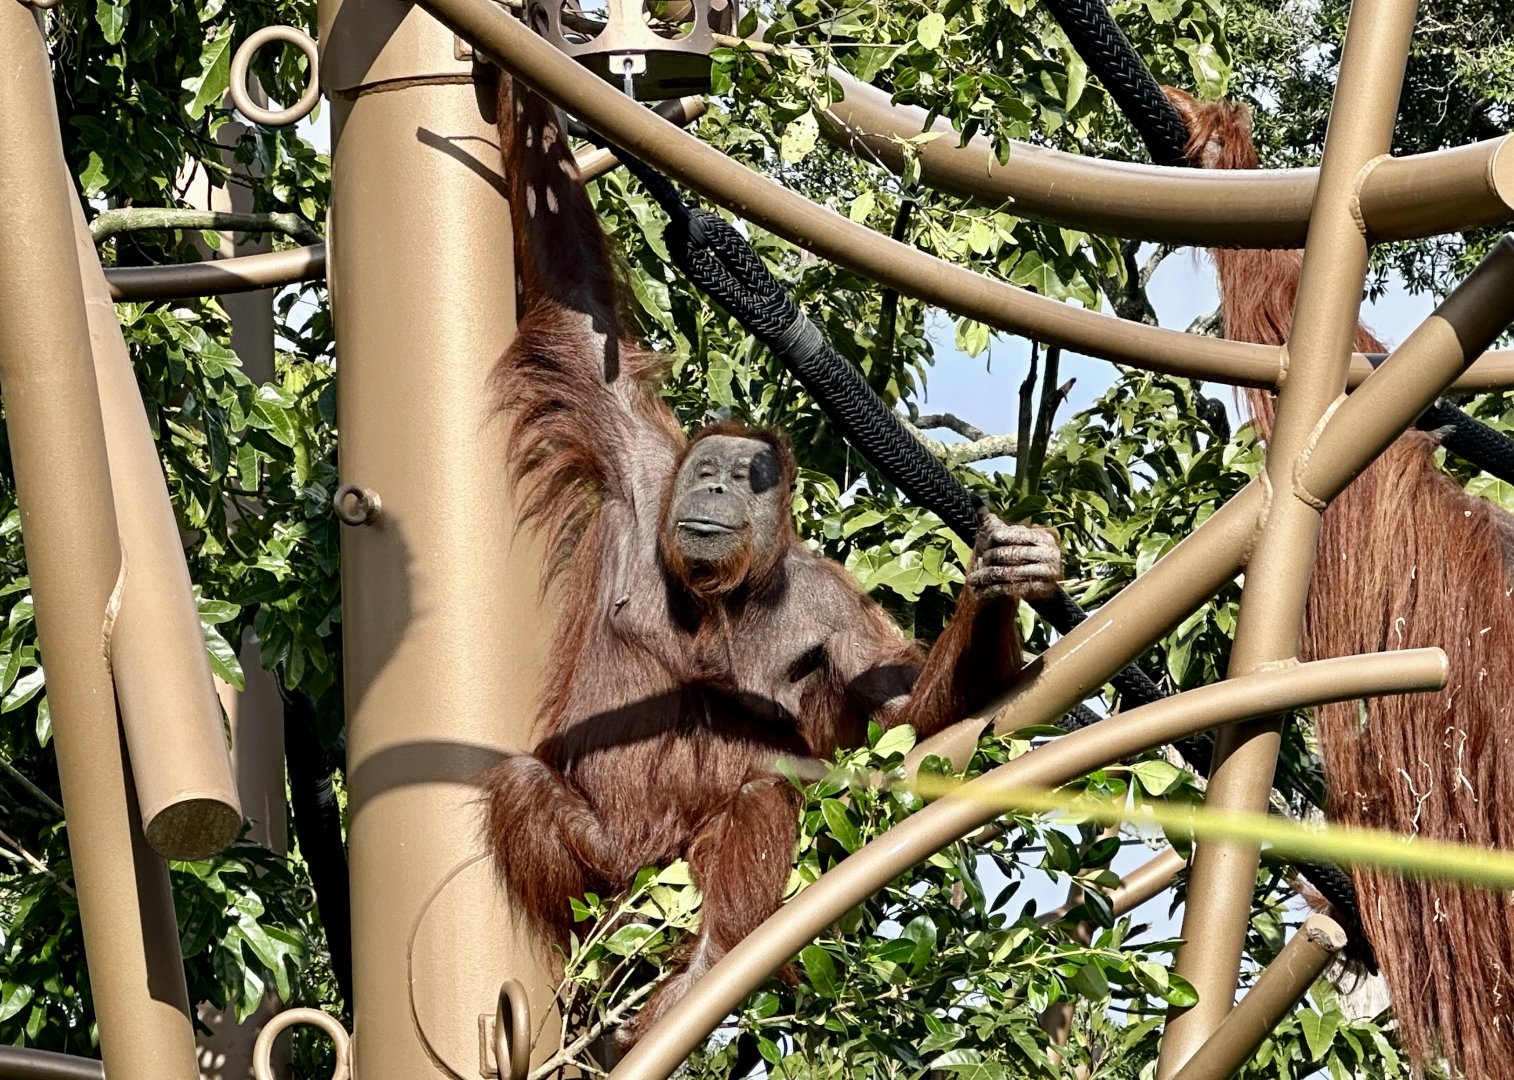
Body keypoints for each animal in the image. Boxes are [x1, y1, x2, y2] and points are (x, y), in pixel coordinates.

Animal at [479, 71, 1062, 1051]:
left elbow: (902, 709)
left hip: (673, 880)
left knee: (758, 797)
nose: (715, 489)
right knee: (525, 788)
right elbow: (576, 312)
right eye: (706, 470)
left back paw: (701, 970)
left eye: (745, 480)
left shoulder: (833, 603)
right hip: (616, 879)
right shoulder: (640, 468)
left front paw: (1002, 579)